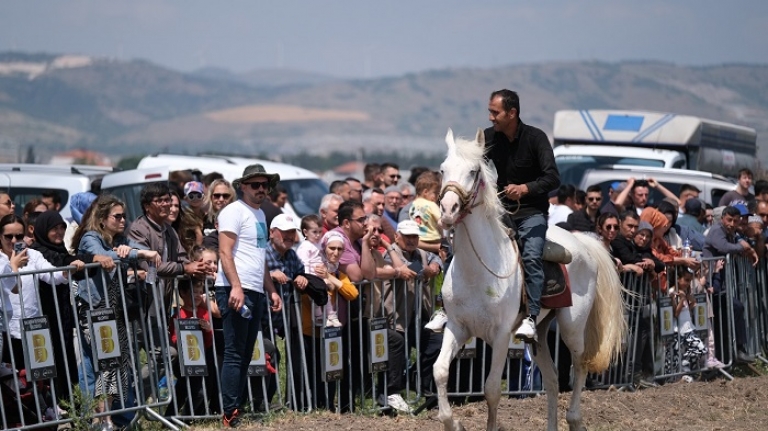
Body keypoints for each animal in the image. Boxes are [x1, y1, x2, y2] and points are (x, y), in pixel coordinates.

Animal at [436, 129, 628, 431]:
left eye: (473, 171)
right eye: (443, 169)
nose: (448, 209)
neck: (477, 270)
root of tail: (583, 242)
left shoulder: (501, 334)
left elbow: (492, 390)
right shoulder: (457, 327)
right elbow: (440, 371)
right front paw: (453, 424)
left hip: (572, 327)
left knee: (579, 366)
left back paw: (575, 419)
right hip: (539, 333)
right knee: (551, 379)